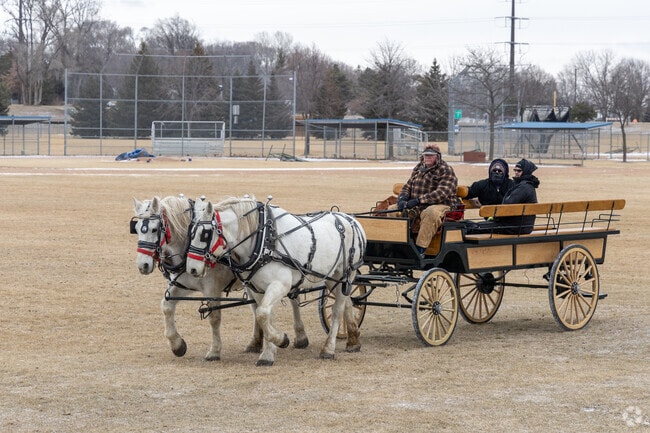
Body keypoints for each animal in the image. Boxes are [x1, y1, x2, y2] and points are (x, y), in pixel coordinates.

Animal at [132, 195, 309, 361]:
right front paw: (177, 345)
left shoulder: (212, 288)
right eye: (137, 229)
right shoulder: (182, 284)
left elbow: (214, 318)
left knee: (294, 301)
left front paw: (214, 351)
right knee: (256, 307)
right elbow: (166, 306)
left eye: (154, 229)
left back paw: (301, 337)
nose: (142, 265)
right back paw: (255, 342)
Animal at [185, 196, 366, 366]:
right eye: (190, 232)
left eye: (205, 234)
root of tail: (351, 219)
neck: (264, 240)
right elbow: (265, 316)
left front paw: (281, 340)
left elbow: (262, 314)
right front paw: (268, 353)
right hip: (332, 278)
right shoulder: (259, 289)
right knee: (347, 303)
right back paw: (353, 340)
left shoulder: (280, 285)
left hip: (344, 275)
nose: (191, 269)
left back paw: (328, 349)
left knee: (337, 310)